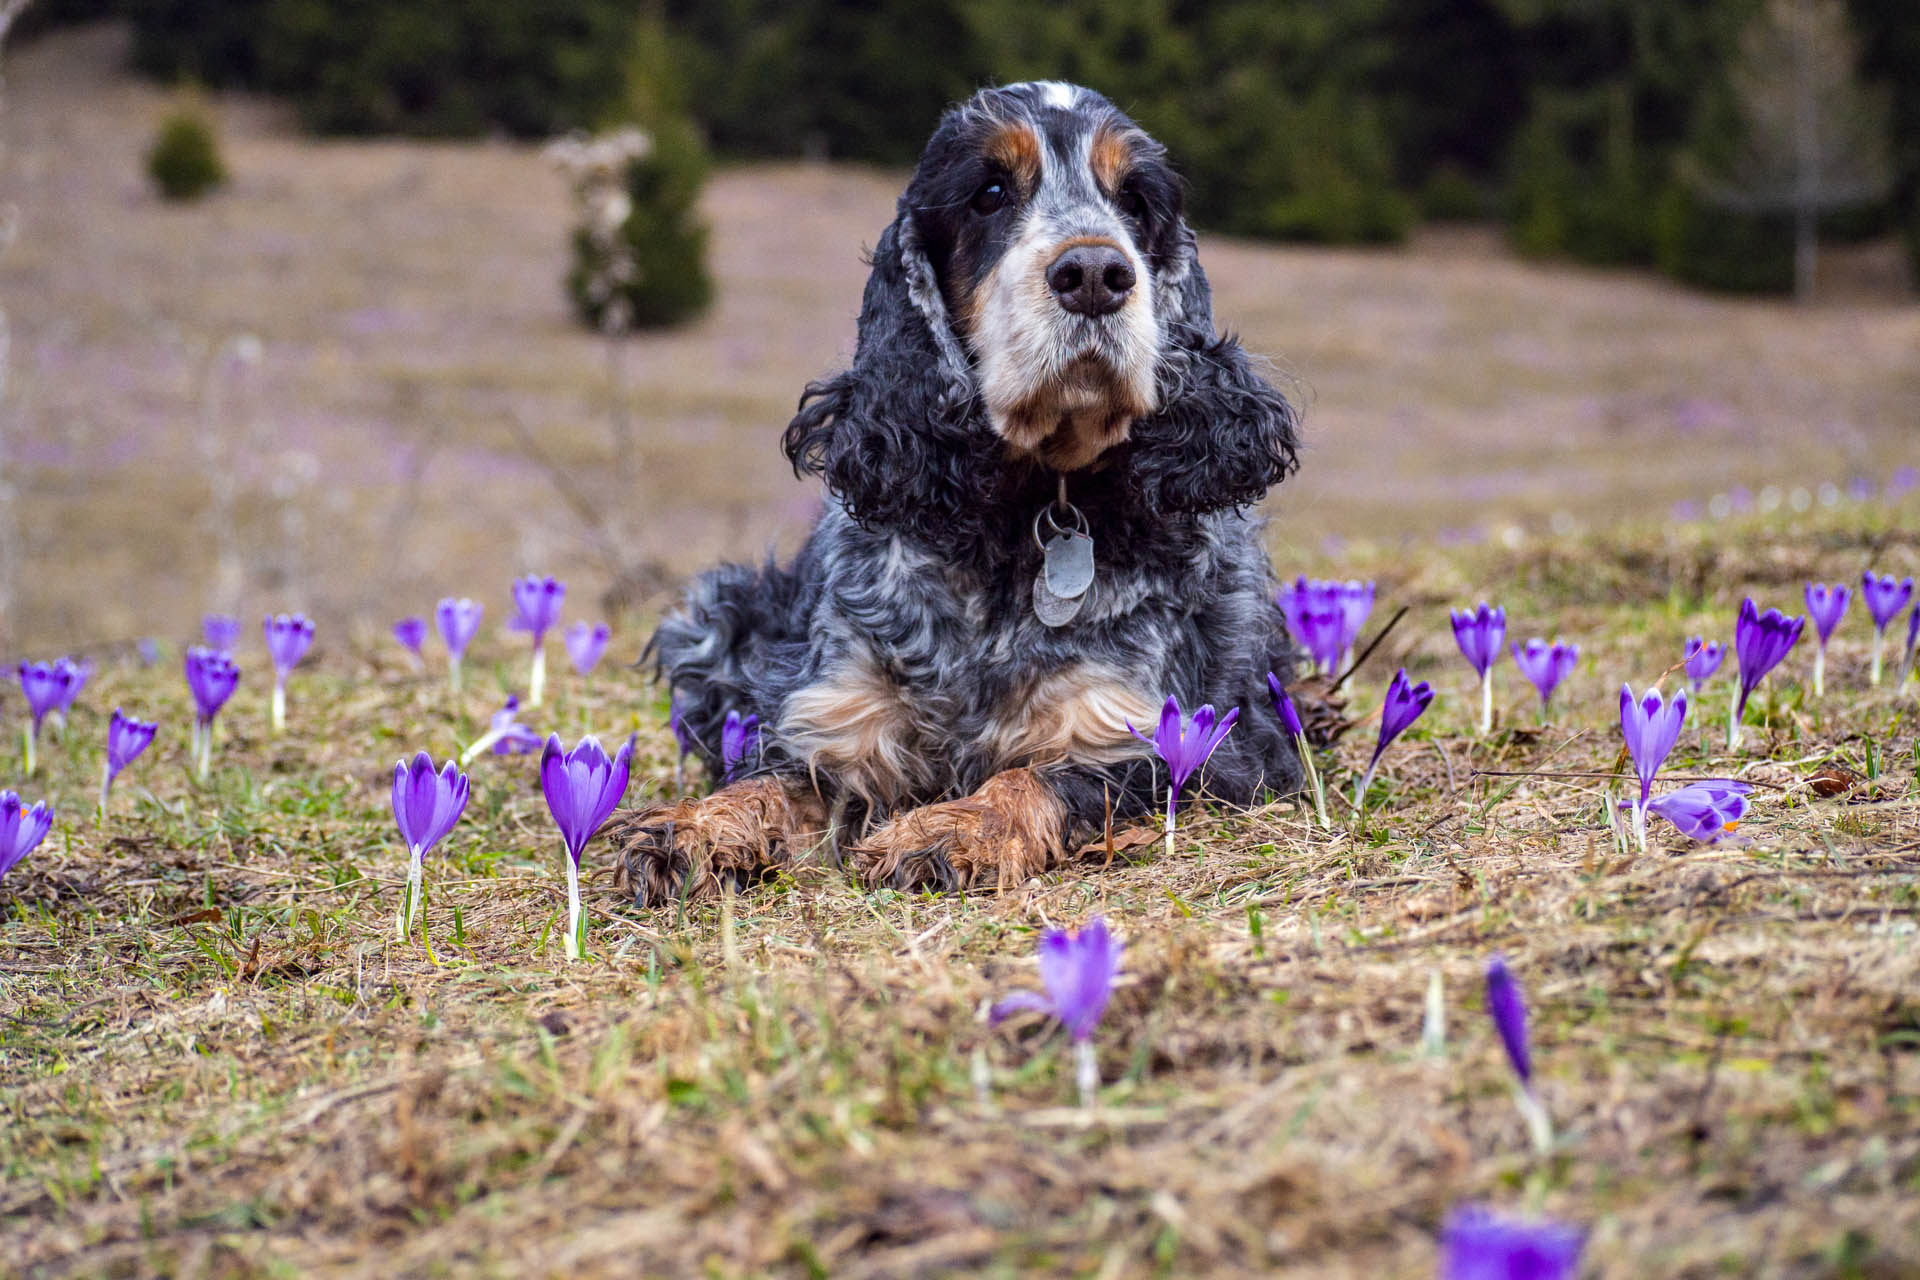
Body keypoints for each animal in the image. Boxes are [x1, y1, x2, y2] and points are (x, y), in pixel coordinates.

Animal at [614, 80, 1305, 905]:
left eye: (1135, 201)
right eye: (990, 194)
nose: (1096, 274)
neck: (1023, 518)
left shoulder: (1171, 744)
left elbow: (1037, 780)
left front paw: (948, 829)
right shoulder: (832, 718)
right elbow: (765, 780)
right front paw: (687, 828)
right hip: (712, 616)